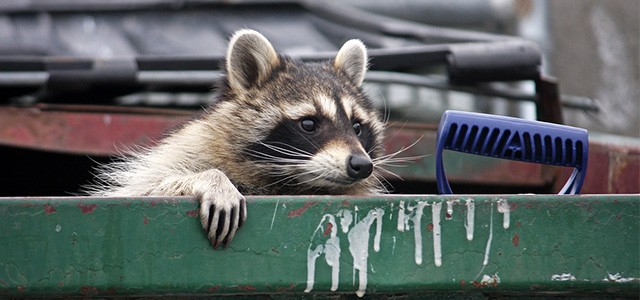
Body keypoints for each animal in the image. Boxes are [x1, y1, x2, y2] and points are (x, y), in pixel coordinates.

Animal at [87, 29, 388, 248]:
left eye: (357, 126)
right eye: (309, 123)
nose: (361, 165)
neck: (287, 181)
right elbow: (142, 188)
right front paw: (211, 179)